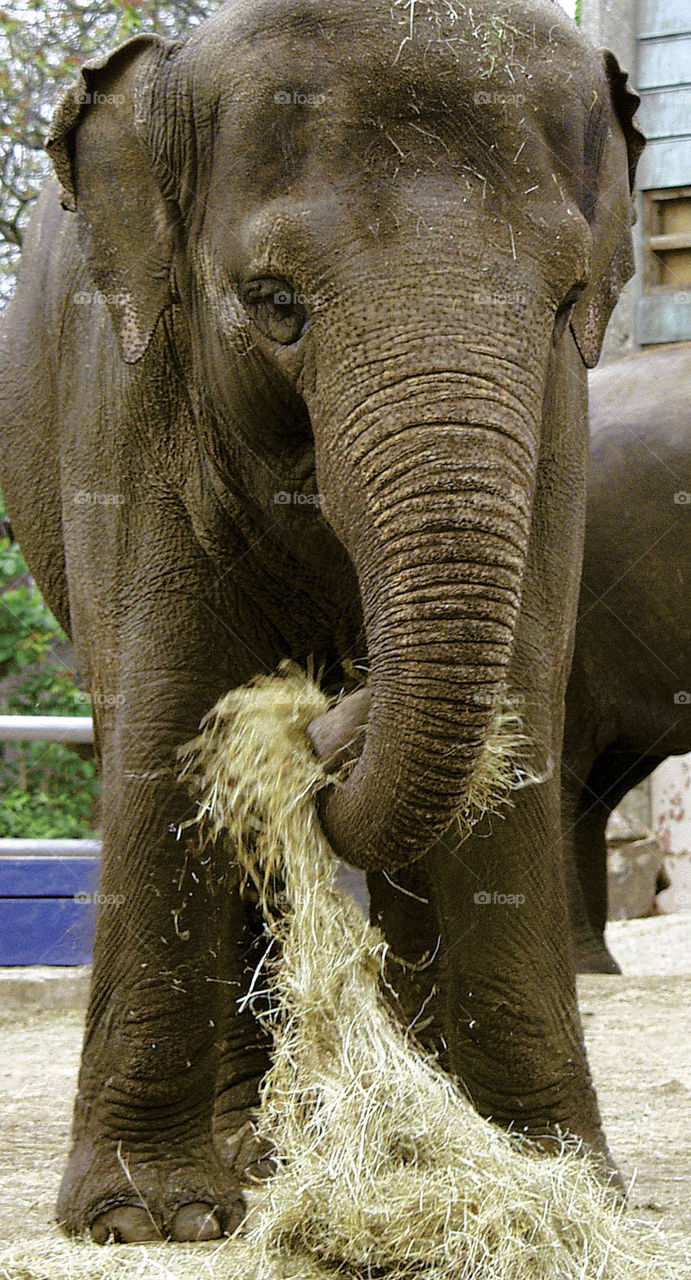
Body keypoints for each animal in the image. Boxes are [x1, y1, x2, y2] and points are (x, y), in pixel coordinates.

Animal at [0, 0, 644, 1244]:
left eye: (562, 305)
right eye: (275, 306)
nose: (331, 714)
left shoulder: (558, 424)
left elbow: (516, 725)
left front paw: (563, 1185)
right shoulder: (128, 393)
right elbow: (167, 721)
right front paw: (139, 1217)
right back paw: (250, 1163)